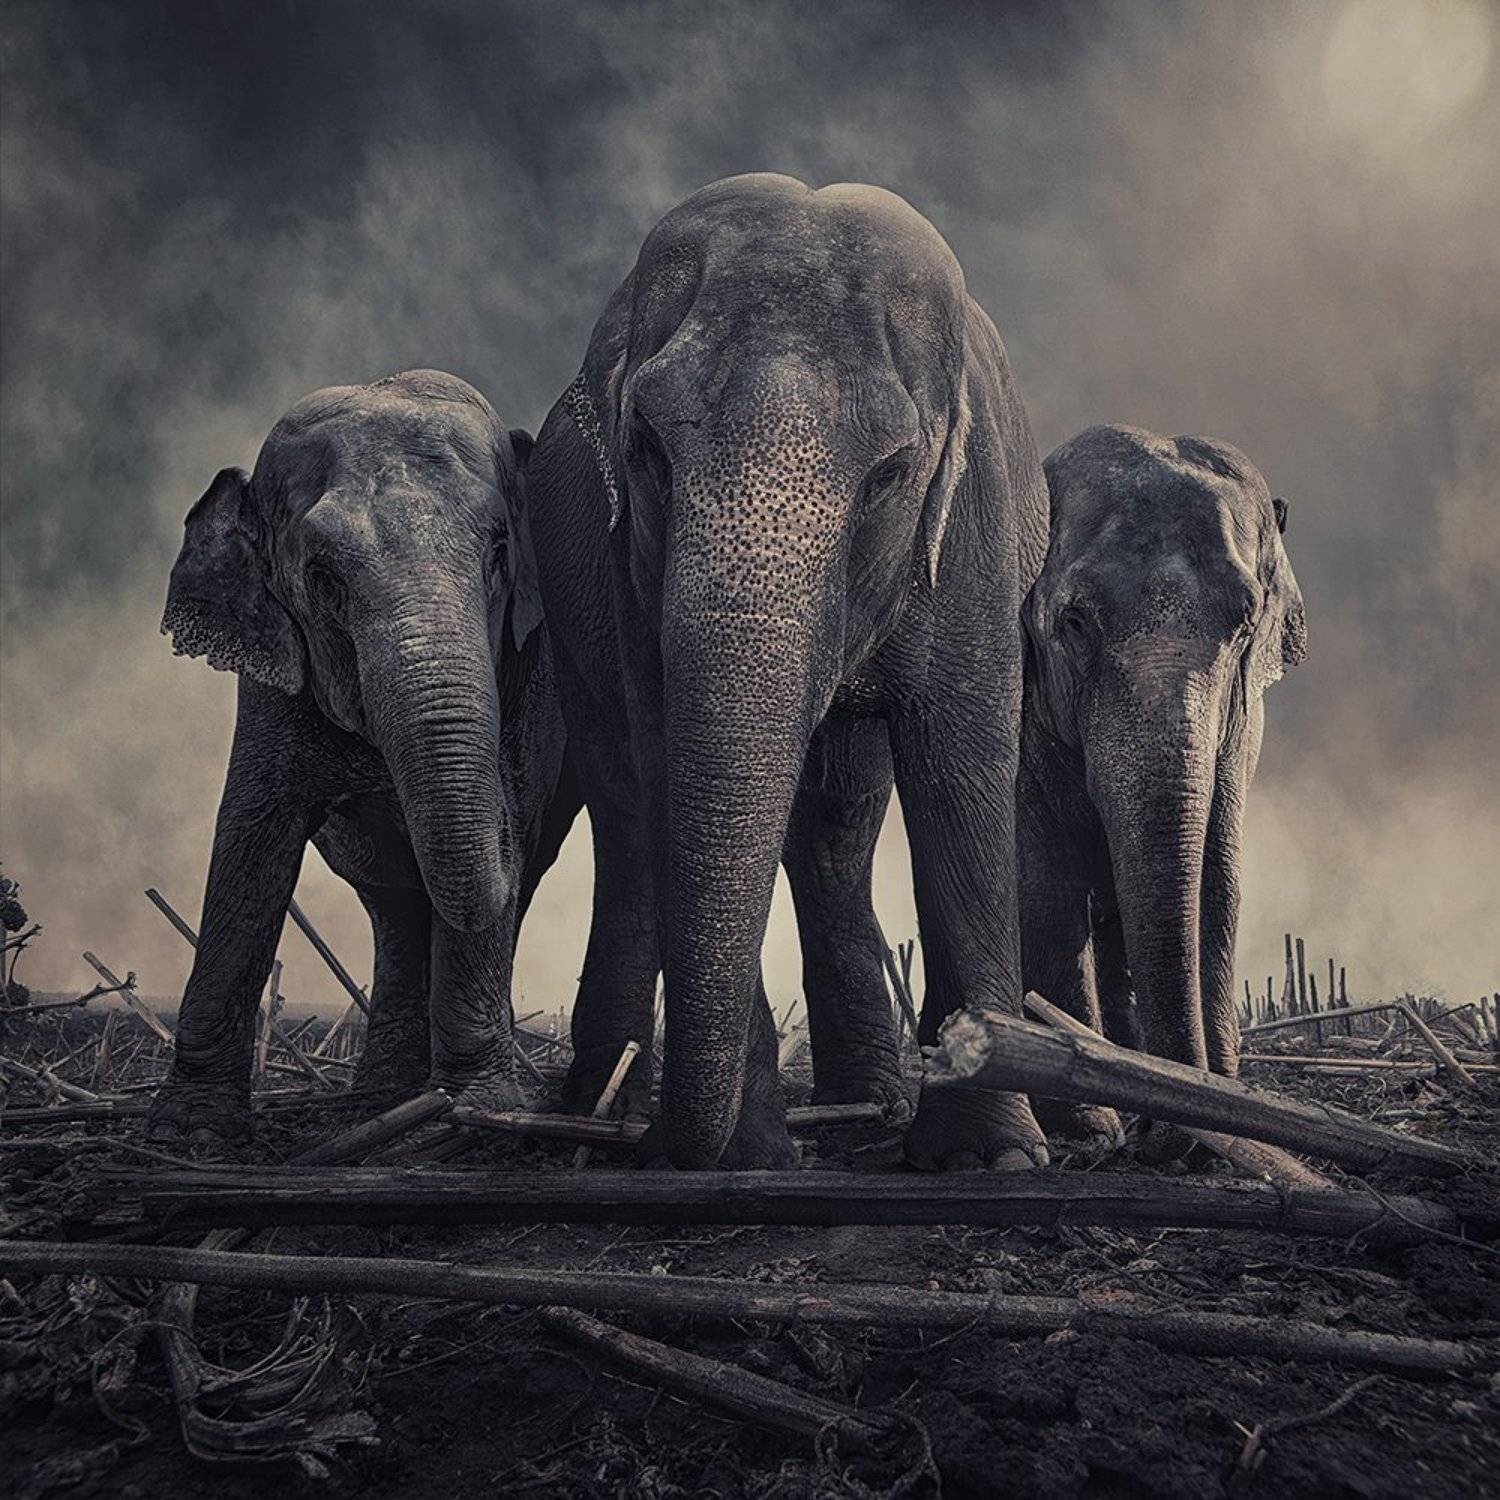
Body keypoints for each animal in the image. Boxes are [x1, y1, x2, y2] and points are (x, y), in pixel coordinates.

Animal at [149, 369, 578, 1142]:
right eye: (323, 579)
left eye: (499, 553)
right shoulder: (269, 681)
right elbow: (251, 839)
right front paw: (190, 1127)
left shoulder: (533, 669)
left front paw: (478, 1110)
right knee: (395, 902)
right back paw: (382, 1097)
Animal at [528, 173, 1052, 1172]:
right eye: (645, 448)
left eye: (890, 475)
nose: (679, 1147)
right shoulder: (628, 569)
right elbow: (664, 760)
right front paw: (752, 1154)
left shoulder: (974, 528)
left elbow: (960, 773)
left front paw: (992, 1156)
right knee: (624, 806)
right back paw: (605, 1106)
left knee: (840, 818)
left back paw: (868, 1107)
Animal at [1016, 424, 1306, 1127]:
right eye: (1074, 622)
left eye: (1246, 622)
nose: (1159, 1124)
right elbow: (1047, 877)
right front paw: (1089, 1125)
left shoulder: (1241, 730)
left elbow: (1217, 875)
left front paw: (1220, 1097)